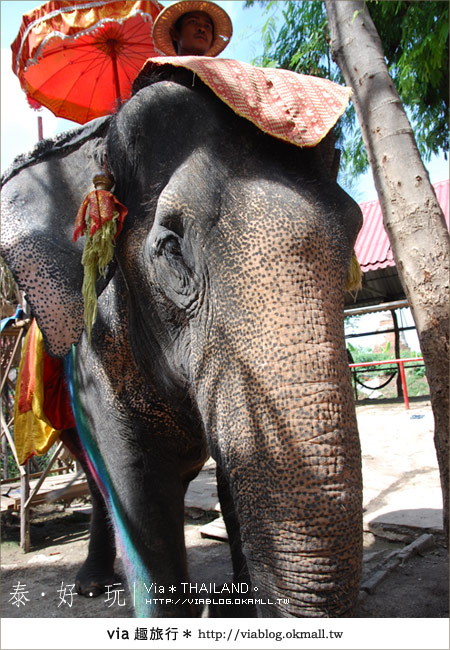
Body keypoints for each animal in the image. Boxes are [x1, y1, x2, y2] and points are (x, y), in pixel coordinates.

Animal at [0, 63, 362, 616]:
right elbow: (139, 487)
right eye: (170, 248)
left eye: (356, 230)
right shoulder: (96, 356)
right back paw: (91, 585)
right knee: (96, 478)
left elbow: (238, 473)